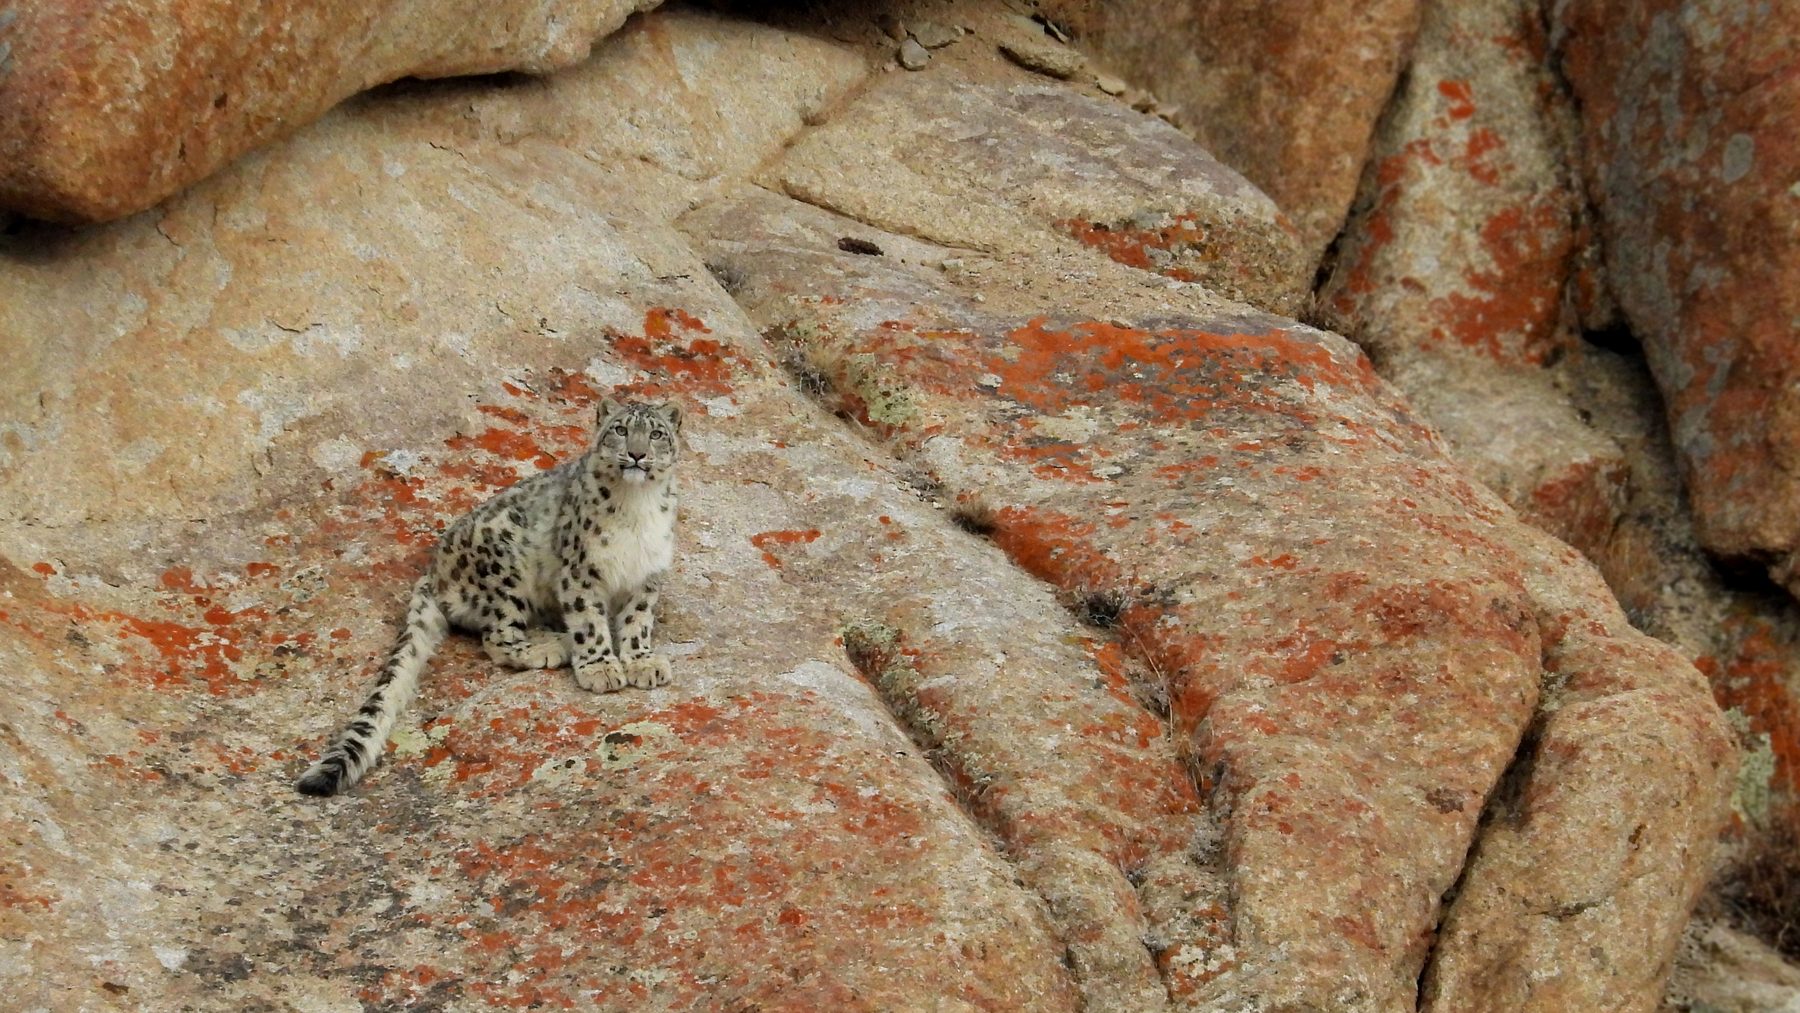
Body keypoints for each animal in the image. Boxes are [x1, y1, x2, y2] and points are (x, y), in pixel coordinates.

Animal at [296, 397, 682, 796]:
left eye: (656, 434)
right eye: (620, 429)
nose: (636, 454)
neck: (637, 507)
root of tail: (433, 572)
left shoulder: (647, 575)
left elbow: (637, 621)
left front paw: (642, 663)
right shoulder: (580, 572)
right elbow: (589, 621)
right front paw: (601, 668)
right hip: (506, 568)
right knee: (497, 637)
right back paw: (551, 645)